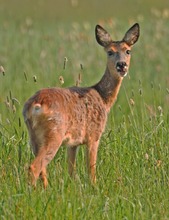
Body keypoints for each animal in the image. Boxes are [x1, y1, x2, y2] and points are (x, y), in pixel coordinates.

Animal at [23, 23, 140, 188]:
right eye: (110, 52)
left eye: (128, 51)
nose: (121, 65)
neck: (103, 98)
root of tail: (35, 105)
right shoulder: (94, 135)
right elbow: (91, 169)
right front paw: (94, 187)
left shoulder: (73, 143)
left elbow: (71, 169)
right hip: (54, 132)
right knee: (34, 166)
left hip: (34, 136)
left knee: (41, 168)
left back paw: (46, 189)